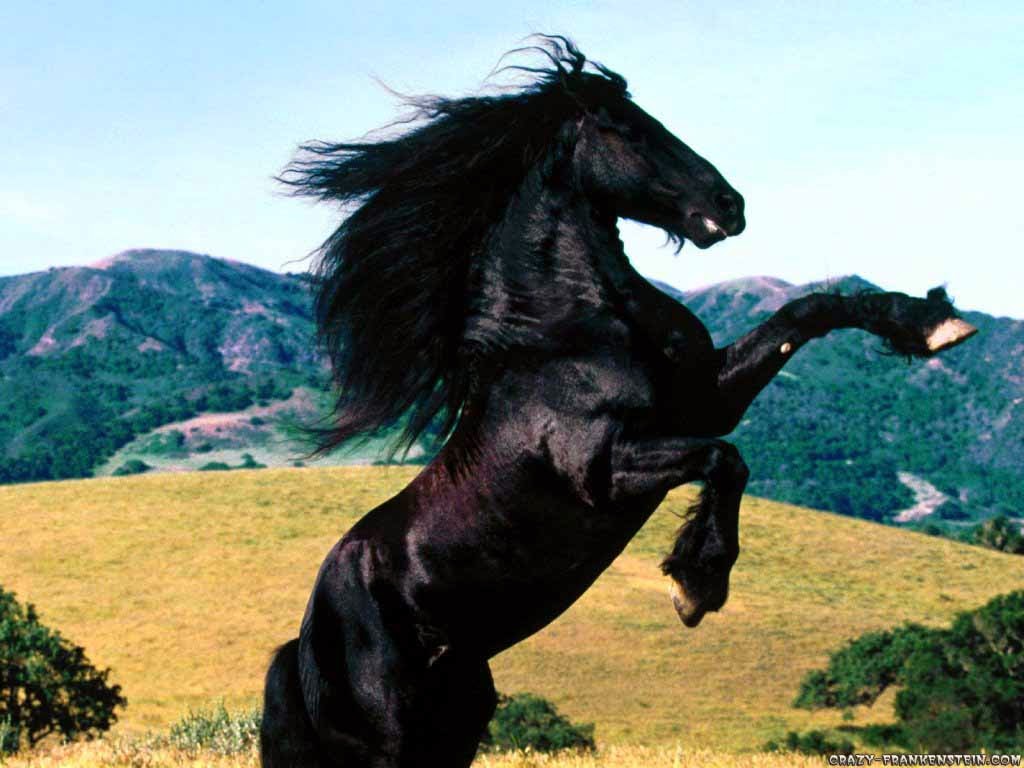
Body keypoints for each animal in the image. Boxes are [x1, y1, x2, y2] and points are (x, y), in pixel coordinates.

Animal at [260, 36, 976, 768]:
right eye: (628, 129)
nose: (730, 204)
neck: (568, 331)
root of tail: (305, 640)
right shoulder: (606, 468)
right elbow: (724, 460)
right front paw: (695, 585)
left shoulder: (705, 401)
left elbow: (807, 314)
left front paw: (932, 323)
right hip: (391, 738)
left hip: (457, 720)